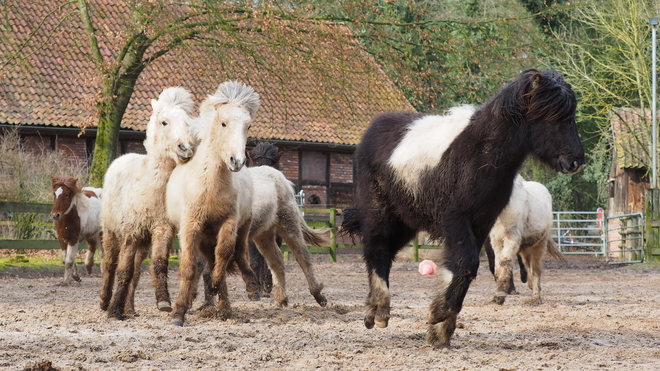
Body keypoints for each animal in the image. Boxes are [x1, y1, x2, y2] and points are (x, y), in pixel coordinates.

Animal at [98, 87, 196, 320]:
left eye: (187, 122)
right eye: (164, 122)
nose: (185, 149)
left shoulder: (162, 229)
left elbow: (158, 264)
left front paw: (164, 302)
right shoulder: (131, 233)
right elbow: (122, 270)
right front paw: (114, 312)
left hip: (143, 242)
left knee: (135, 272)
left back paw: (130, 309)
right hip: (111, 232)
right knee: (109, 265)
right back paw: (106, 301)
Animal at [484, 174, 564, 306]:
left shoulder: (511, 239)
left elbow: (505, 262)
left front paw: (500, 295)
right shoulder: (496, 241)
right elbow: (497, 266)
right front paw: (497, 296)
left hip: (539, 244)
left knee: (535, 268)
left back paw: (536, 297)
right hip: (525, 248)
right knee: (528, 265)